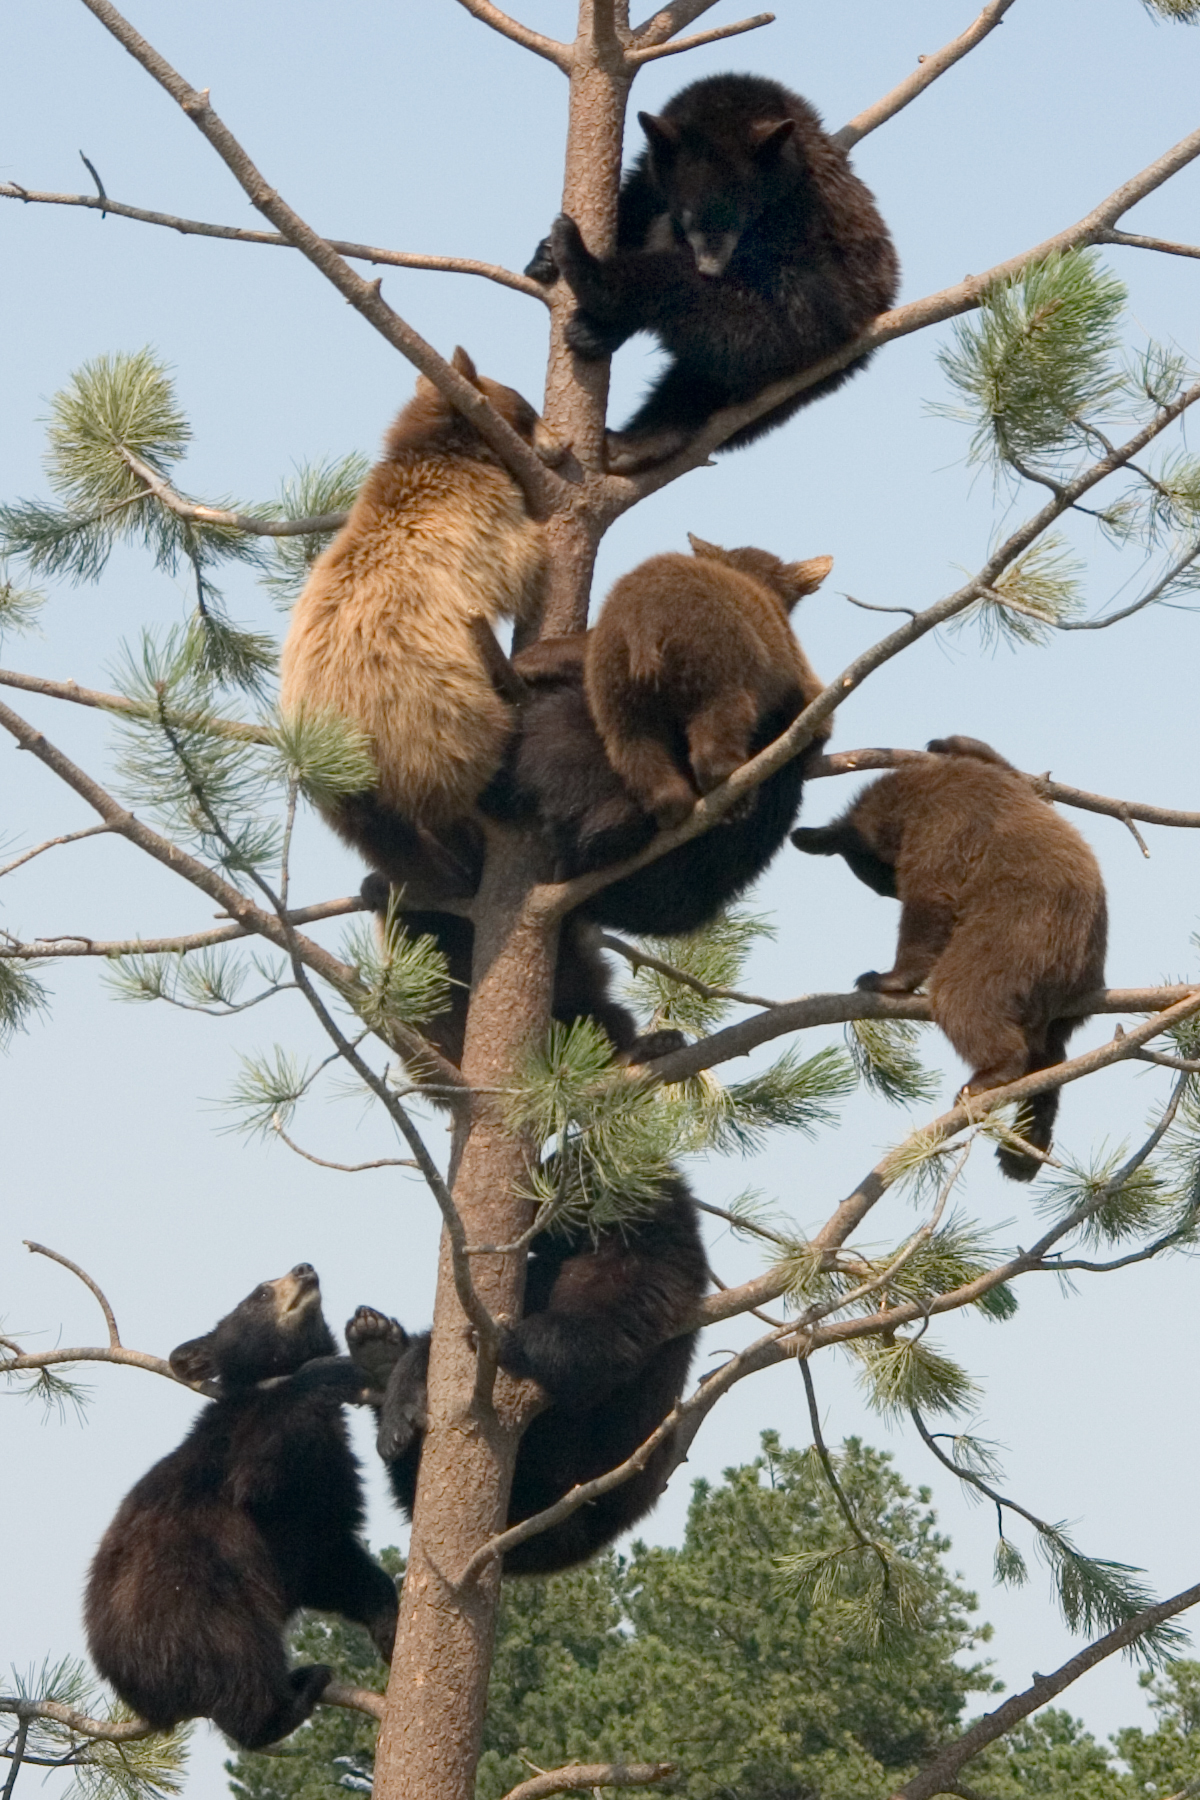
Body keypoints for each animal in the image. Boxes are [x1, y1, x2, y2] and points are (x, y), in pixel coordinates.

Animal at [84, 1265, 397, 1750]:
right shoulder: (245, 1457)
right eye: (261, 1293)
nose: (305, 1269)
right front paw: (334, 1366)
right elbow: (259, 1468)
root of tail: (146, 1702)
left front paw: (389, 1625)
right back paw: (292, 1698)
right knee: (240, 1661)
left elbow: (330, 1560)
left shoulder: (320, 1498)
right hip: (197, 1611)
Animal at [279, 347, 554, 884]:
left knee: (395, 843)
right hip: (429, 710)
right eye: (527, 410)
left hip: (351, 804)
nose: (562, 443)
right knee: (459, 776)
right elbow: (524, 559)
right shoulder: (483, 521)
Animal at [344, 1171, 708, 1573]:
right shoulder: (543, 1275)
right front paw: (398, 1412)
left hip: (590, 1459)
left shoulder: (656, 1273)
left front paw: (505, 1338)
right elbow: (430, 1349)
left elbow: (602, 1338)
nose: (530, 1216)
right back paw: (379, 1350)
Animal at [526, 73, 899, 471]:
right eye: (689, 214)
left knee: (721, 322)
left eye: (741, 216)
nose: (710, 268)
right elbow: (634, 208)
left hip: (822, 325)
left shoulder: (802, 213)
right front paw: (543, 257)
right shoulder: (653, 169)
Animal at [790, 739, 1108, 1180]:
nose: (892, 892)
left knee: (966, 996)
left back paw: (991, 1076)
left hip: (1014, 943)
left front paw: (886, 977)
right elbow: (1011, 771)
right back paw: (1025, 1146)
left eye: (885, 880)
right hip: (1060, 1002)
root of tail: (1080, 979)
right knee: (1051, 1061)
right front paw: (948, 741)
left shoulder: (943, 828)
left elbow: (932, 901)